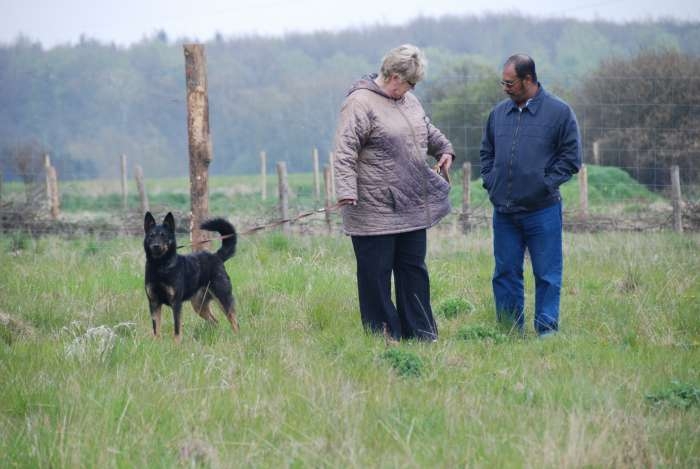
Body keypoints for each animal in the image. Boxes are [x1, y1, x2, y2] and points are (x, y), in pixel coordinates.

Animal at [143, 211, 239, 341]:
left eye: (164, 236)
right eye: (151, 236)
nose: (156, 246)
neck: (160, 267)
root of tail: (216, 256)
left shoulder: (176, 303)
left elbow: (177, 328)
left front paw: (177, 344)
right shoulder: (154, 303)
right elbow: (156, 328)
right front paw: (156, 343)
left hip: (223, 298)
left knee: (234, 322)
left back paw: (238, 337)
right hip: (199, 306)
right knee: (215, 322)